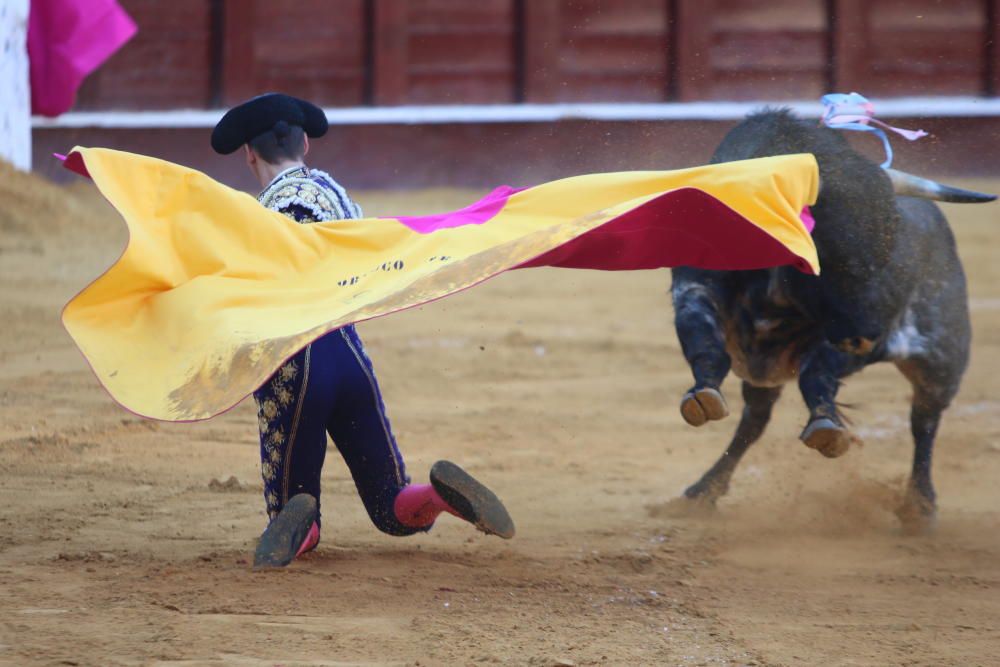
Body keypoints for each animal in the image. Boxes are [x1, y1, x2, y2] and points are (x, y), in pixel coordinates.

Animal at [672, 109, 992, 532]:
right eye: (821, 240)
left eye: (885, 243)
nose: (871, 330)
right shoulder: (693, 286)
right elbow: (703, 340)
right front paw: (702, 397)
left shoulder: (851, 342)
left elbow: (817, 375)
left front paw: (826, 430)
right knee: (755, 419)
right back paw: (702, 492)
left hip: (942, 358)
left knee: (924, 422)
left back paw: (920, 507)